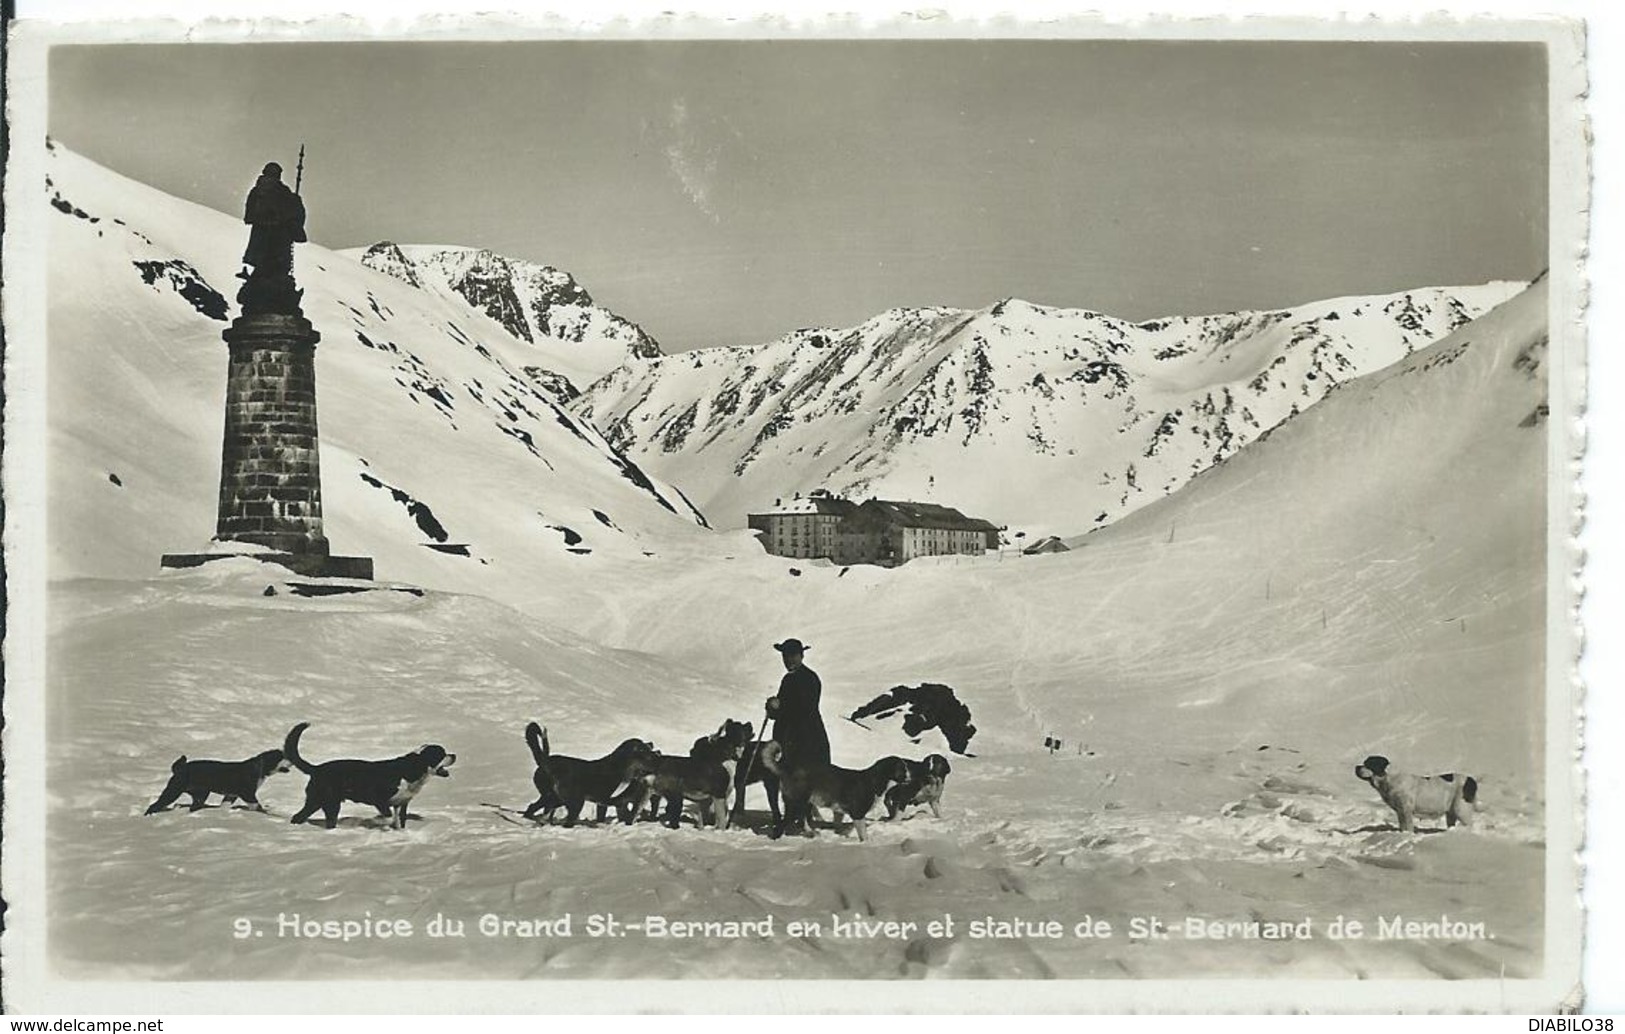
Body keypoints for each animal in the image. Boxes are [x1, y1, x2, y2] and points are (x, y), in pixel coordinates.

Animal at [143, 747, 292, 812]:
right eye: (282, 757)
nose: (292, 761)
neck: (259, 767)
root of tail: (181, 768)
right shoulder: (247, 793)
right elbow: (256, 805)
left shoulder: (231, 794)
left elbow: (225, 805)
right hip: (174, 790)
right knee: (156, 804)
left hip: (201, 793)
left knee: (195, 805)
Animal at [287, 718, 458, 832]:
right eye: (441, 753)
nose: (454, 755)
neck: (412, 769)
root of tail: (317, 768)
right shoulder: (379, 799)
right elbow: (388, 817)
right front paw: (384, 827)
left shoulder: (401, 803)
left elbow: (399, 821)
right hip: (328, 802)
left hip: (319, 801)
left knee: (300, 816)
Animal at [1352, 751, 1482, 832]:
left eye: (1369, 764)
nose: (1356, 767)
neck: (1388, 779)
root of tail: (1471, 780)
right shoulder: (1400, 811)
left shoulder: (1406, 809)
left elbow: (1408, 826)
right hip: (1451, 812)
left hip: (1461, 808)